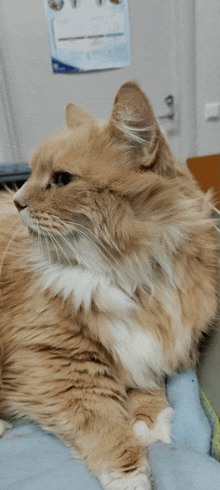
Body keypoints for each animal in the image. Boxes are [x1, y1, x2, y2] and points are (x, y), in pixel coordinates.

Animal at [0, 81, 217, 490]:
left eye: (62, 179)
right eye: (32, 174)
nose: (18, 202)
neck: (131, 277)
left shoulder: (161, 338)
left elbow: (148, 381)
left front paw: (149, 421)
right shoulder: (54, 362)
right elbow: (104, 427)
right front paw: (132, 476)